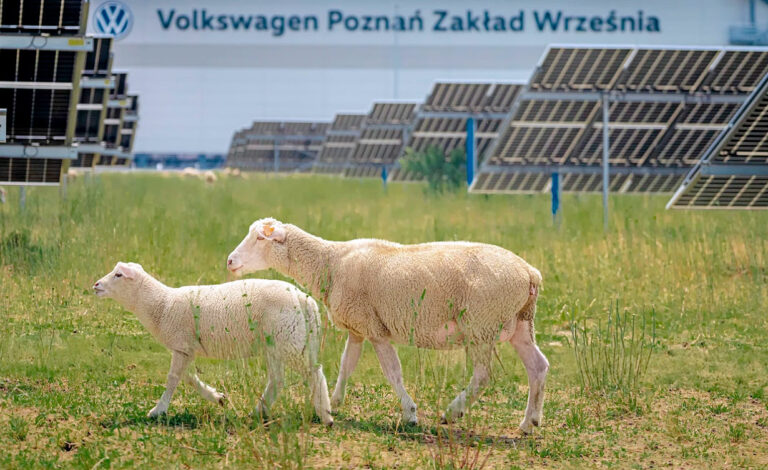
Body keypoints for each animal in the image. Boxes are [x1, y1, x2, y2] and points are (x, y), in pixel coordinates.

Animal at [93, 261, 333, 425]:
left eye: (118, 274)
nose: (96, 285)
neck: (161, 305)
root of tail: (305, 300)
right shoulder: (186, 348)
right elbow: (189, 378)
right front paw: (217, 397)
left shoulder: (181, 346)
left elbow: (173, 379)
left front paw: (158, 410)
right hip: (278, 342)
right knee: (278, 379)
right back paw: (259, 411)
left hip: (290, 340)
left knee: (315, 373)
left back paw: (326, 415)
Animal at [227, 218, 549, 433]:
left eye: (260, 239)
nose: (230, 261)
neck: (330, 262)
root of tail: (530, 272)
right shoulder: (358, 327)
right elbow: (346, 365)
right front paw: (334, 402)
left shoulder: (375, 330)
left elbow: (393, 373)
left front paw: (410, 414)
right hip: (520, 323)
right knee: (538, 366)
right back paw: (529, 423)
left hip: (480, 322)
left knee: (483, 375)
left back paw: (452, 412)